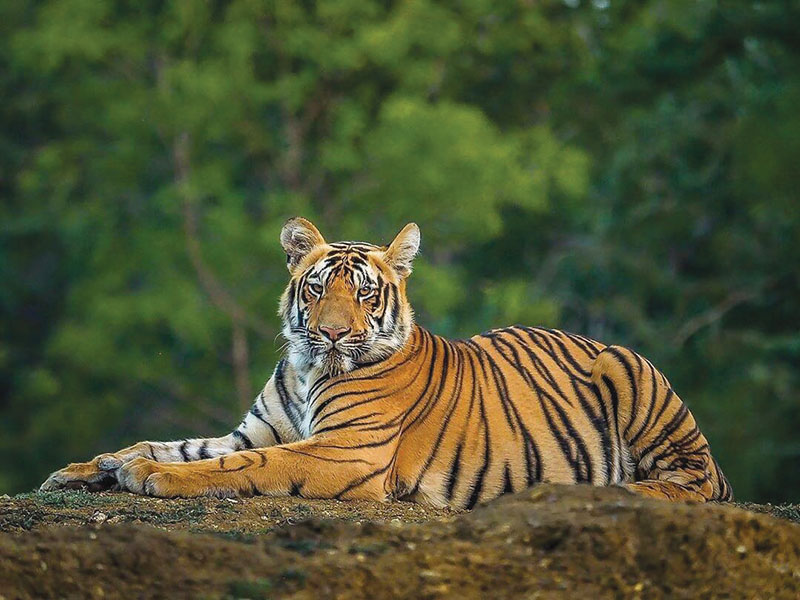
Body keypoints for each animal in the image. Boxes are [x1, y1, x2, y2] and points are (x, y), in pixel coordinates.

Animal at [41, 217, 732, 507]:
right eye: (318, 288)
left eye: (366, 293)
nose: (331, 333)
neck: (306, 368)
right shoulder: (255, 429)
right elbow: (171, 443)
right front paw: (90, 468)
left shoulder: (344, 451)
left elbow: (238, 465)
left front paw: (149, 478)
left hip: (633, 376)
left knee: (694, 484)